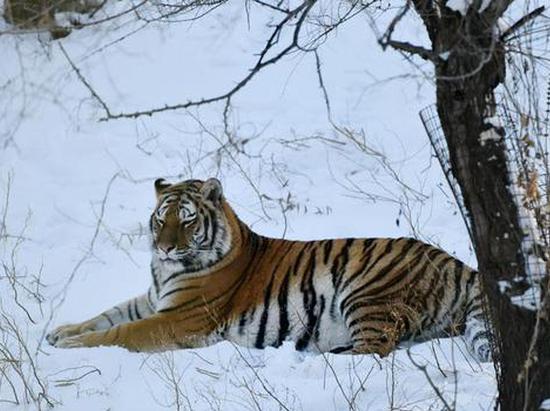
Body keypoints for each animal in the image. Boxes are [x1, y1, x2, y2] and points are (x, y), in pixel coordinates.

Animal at [47, 179, 494, 362]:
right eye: (161, 219)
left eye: (186, 220)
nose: (164, 247)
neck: (167, 271)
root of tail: (454, 262)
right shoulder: (155, 299)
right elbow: (107, 314)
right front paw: (61, 331)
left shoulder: (179, 318)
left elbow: (120, 332)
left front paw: (71, 346)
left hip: (367, 292)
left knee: (377, 349)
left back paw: (321, 356)